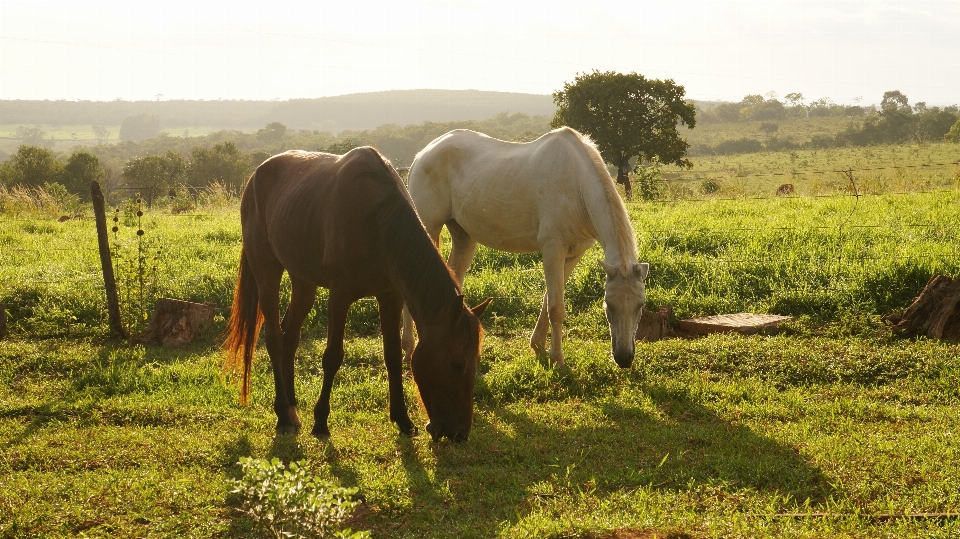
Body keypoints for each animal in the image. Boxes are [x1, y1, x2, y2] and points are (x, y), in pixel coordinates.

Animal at [220, 149, 488, 442]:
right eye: (455, 364)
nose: (460, 432)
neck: (378, 221)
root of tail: (256, 175)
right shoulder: (340, 295)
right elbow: (332, 357)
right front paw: (321, 422)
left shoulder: (390, 296)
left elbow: (392, 355)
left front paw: (402, 419)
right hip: (267, 270)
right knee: (274, 339)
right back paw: (283, 416)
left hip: (303, 281)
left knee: (290, 337)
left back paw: (292, 408)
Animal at [402, 129, 648, 370]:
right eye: (609, 305)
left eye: (640, 305)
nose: (624, 358)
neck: (575, 184)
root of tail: (422, 154)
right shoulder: (552, 249)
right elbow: (555, 308)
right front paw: (558, 360)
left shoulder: (572, 255)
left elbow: (549, 299)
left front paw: (538, 346)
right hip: (428, 226)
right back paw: (409, 348)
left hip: (464, 236)